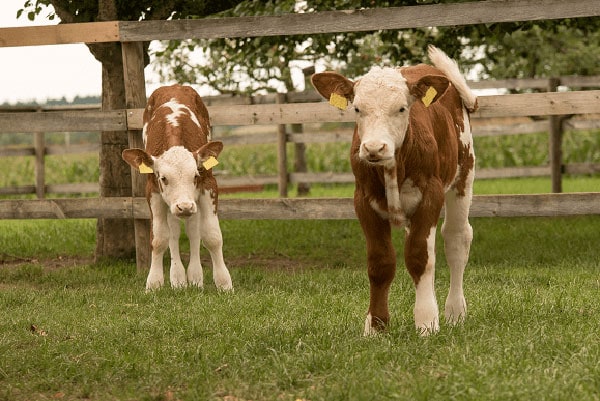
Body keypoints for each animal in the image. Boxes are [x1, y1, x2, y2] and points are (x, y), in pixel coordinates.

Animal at [123, 84, 233, 290]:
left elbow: (212, 236)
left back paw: (195, 278)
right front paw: (154, 283)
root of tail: (174, 86)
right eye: (164, 178)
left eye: (195, 176)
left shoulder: (208, 185)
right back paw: (178, 279)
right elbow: (159, 239)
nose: (185, 206)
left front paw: (224, 283)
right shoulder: (153, 191)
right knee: (173, 232)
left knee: (193, 230)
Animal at [314, 46, 478, 334]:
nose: (374, 148)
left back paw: (454, 311)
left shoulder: (430, 196)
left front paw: (426, 322)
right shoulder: (363, 201)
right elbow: (381, 263)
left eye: (401, 108)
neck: (392, 168)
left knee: (456, 238)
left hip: (463, 175)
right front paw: (375, 325)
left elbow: (420, 257)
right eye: (357, 108)